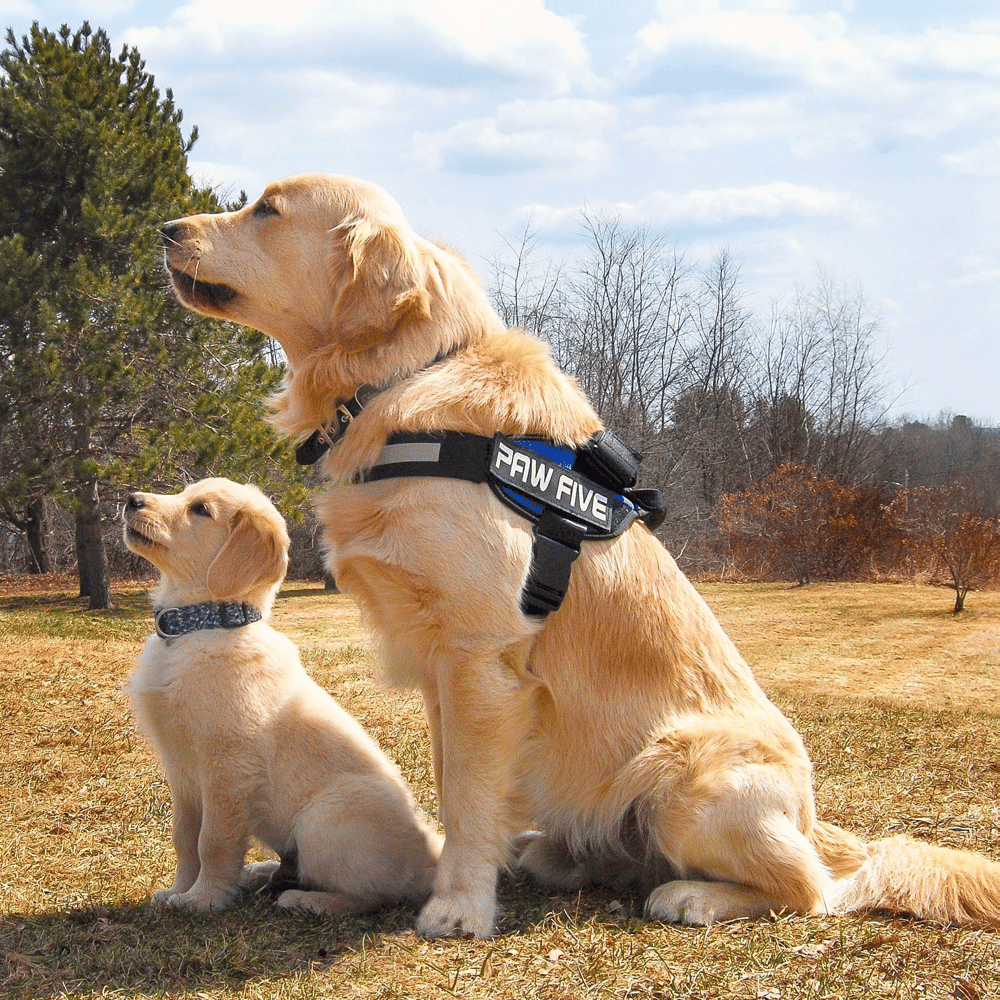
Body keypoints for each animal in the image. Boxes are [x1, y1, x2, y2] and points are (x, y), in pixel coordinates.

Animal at [122, 476, 442, 916]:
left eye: (200, 509)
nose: (131, 500)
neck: (198, 628)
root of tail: (431, 860)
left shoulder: (227, 768)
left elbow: (212, 842)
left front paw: (204, 899)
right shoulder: (181, 771)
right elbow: (184, 837)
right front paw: (177, 891)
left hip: (323, 818)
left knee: (374, 896)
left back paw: (306, 900)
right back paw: (262, 872)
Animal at [160, 178, 1000, 936]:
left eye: (267, 209)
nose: (167, 228)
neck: (402, 379)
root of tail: (814, 815)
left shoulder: (479, 657)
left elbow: (467, 797)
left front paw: (457, 908)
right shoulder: (441, 670)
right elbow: (453, 786)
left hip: (684, 772)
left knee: (812, 888)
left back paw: (693, 896)